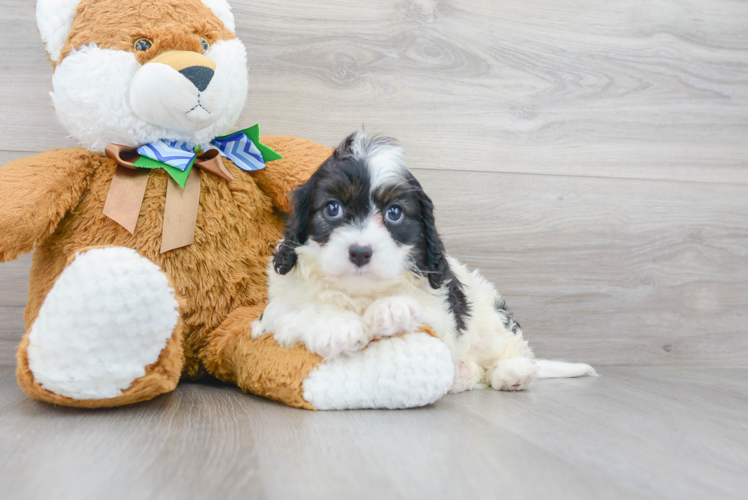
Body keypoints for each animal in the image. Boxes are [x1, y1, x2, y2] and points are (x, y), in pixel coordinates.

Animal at [253, 135, 596, 392]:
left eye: (394, 213)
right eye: (332, 208)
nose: (360, 252)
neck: (360, 293)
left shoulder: (440, 306)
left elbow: (421, 310)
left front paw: (391, 309)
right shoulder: (273, 313)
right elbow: (300, 312)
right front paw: (337, 327)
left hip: (489, 317)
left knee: (508, 350)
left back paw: (513, 372)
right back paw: (462, 375)